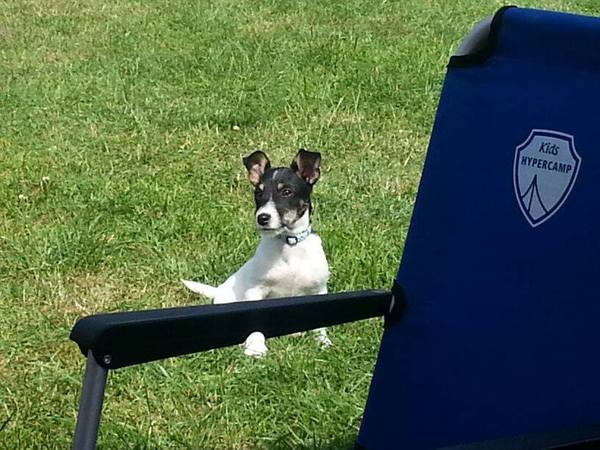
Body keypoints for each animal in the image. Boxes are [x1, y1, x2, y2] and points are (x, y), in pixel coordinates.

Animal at [182, 149, 331, 356]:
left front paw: (324, 342)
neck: (289, 246)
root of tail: (219, 291)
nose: (262, 218)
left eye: (286, 192)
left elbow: (320, 325)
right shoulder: (256, 290)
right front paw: (256, 348)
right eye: (258, 193)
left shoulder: (318, 289)